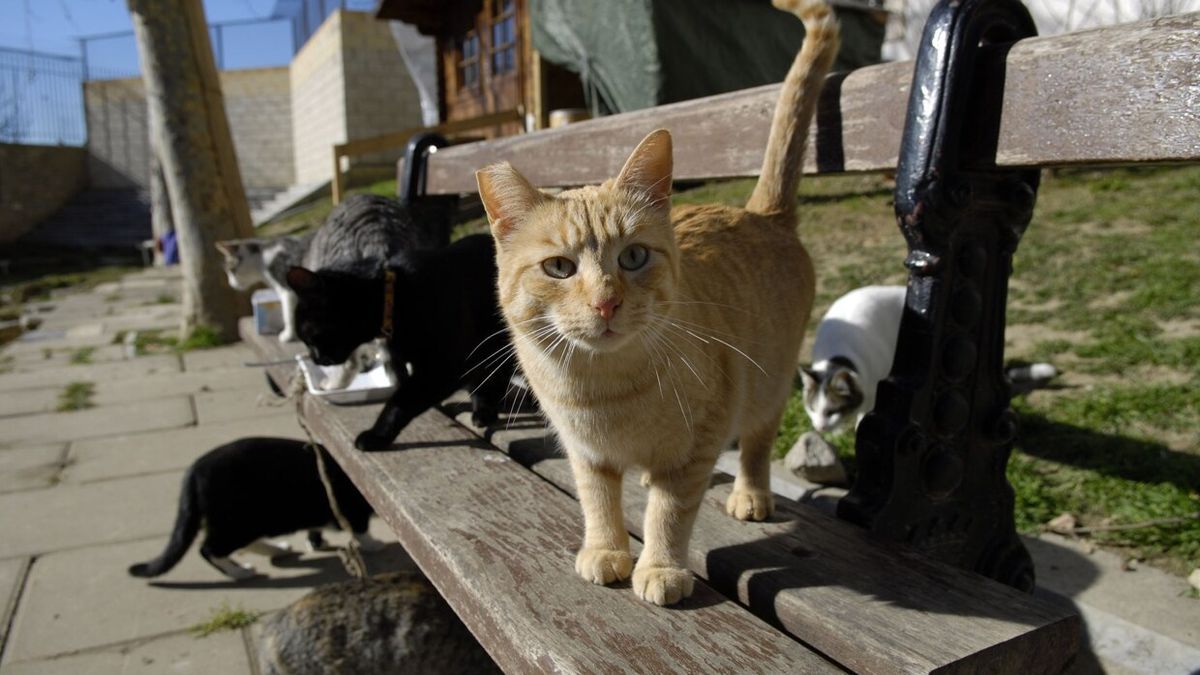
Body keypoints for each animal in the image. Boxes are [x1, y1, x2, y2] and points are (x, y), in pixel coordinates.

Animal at [127, 437, 381, 578]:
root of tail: (194, 471)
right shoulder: (353, 508)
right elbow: (361, 530)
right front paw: (373, 545)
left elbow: (317, 529)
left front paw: (316, 542)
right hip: (240, 520)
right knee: (209, 549)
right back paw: (240, 572)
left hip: (250, 521)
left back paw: (278, 549)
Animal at [290, 234, 516, 449]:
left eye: (308, 337)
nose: (315, 358)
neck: (396, 299)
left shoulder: (443, 367)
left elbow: (401, 401)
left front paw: (377, 435)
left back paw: (485, 410)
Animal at [472, 0, 840, 605]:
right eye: (559, 268)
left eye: (634, 257)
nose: (605, 303)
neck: (604, 390)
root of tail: (760, 212)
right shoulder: (586, 454)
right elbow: (599, 501)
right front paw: (606, 550)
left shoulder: (698, 444)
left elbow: (670, 510)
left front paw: (661, 567)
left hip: (768, 385)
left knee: (757, 443)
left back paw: (751, 493)